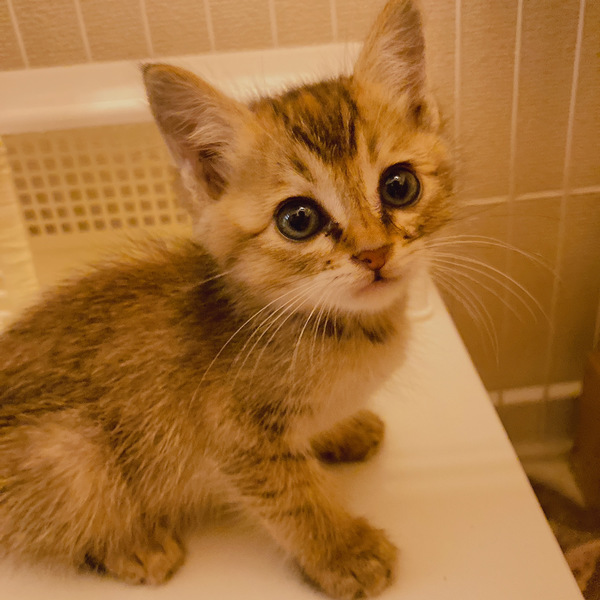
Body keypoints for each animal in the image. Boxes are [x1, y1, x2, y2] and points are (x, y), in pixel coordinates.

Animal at [0, 1, 452, 598]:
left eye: (399, 186)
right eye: (298, 219)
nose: (375, 253)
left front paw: (343, 428)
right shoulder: (236, 437)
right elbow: (294, 498)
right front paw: (344, 551)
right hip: (70, 450)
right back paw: (133, 545)